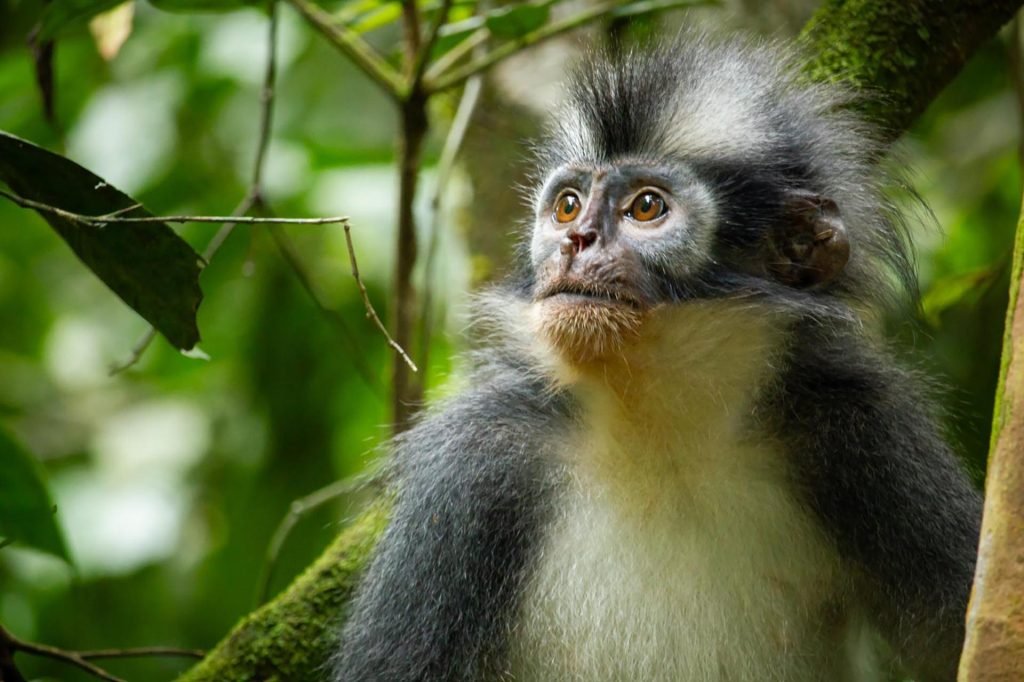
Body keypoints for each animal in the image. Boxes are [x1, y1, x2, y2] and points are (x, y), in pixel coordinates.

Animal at [333, 33, 983, 682]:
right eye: (568, 206)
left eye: (646, 207)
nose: (576, 241)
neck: (659, 429)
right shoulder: (475, 465)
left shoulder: (860, 428)